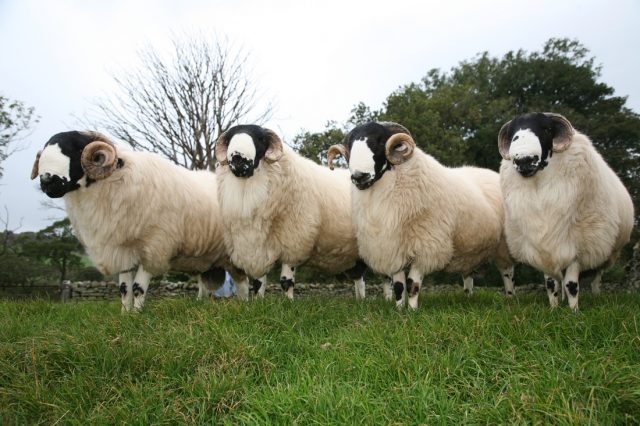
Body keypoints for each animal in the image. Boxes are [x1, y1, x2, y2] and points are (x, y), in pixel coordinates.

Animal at [31, 128, 248, 312]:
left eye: (75, 149)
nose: (47, 181)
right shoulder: (121, 249)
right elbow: (124, 288)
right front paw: (124, 314)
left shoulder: (154, 246)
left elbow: (137, 287)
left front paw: (137, 314)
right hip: (206, 258)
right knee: (206, 284)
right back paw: (201, 303)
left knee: (244, 282)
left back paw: (246, 305)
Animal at [214, 125, 364, 302]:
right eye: (229, 139)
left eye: (260, 139)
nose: (238, 157)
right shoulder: (258, 245)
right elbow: (258, 282)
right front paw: (259, 301)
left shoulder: (293, 241)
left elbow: (286, 281)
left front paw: (289, 301)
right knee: (359, 278)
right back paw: (360, 301)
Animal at [328, 120, 516, 310]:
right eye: (350, 147)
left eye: (379, 142)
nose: (359, 177)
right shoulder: (393, 247)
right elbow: (398, 286)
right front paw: (398, 310)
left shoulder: (425, 247)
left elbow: (412, 284)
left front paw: (412, 310)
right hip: (469, 251)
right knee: (468, 274)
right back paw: (468, 297)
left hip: (503, 245)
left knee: (507, 273)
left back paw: (510, 298)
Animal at [498, 110, 632, 310]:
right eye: (513, 131)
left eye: (546, 129)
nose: (523, 160)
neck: (538, 187)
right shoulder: (542, 245)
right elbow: (550, 283)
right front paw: (554, 308)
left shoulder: (577, 247)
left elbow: (571, 284)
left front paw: (573, 310)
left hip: (604, 249)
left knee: (597, 276)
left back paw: (596, 295)